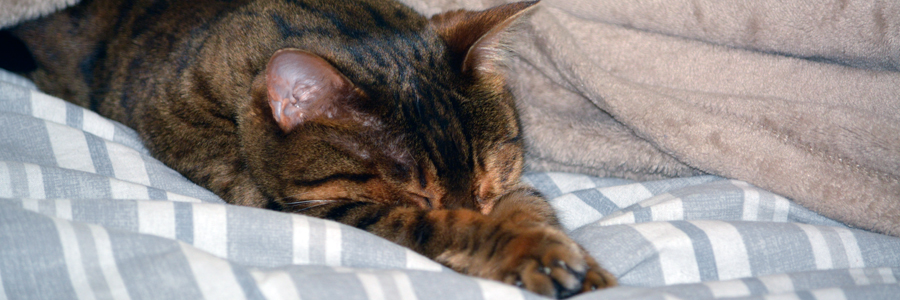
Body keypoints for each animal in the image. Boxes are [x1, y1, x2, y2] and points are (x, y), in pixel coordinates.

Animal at [10, 0, 620, 296]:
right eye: (415, 193)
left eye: (490, 172)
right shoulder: (305, 206)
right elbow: (447, 226)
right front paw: (531, 254)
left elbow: (528, 205)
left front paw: (569, 259)